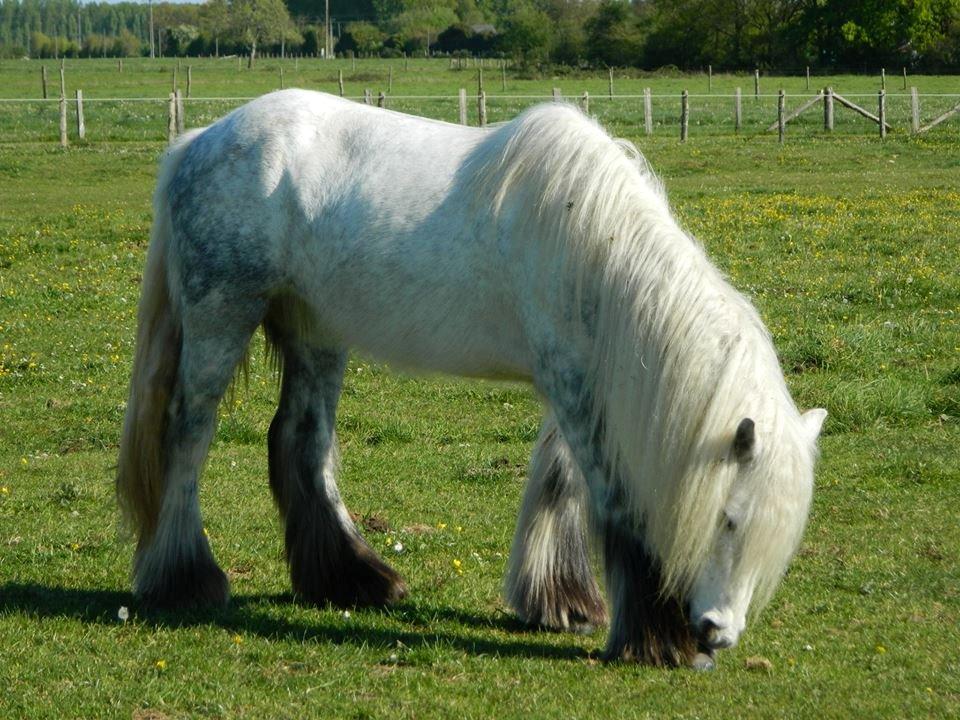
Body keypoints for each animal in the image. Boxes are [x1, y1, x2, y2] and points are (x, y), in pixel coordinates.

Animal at [118, 90, 824, 668]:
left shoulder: (573, 381)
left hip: (316, 329)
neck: (589, 245)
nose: (716, 632)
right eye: (729, 520)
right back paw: (186, 581)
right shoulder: (574, 389)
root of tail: (199, 140)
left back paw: (351, 580)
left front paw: (560, 604)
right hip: (221, 319)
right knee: (189, 435)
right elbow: (613, 497)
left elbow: (559, 485)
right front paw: (655, 637)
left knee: (302, 440)